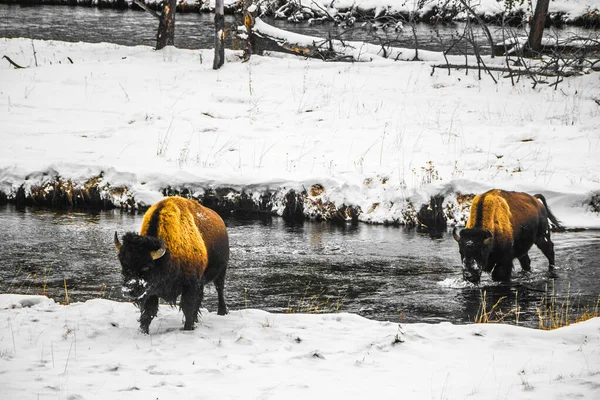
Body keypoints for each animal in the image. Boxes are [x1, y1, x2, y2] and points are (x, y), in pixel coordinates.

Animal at [113, 195, 229, 332]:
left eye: (146, 267)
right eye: (124, 265)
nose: (128, 290)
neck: (167, 254)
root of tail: (220, 221)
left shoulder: (190, 285)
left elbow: (188, 308)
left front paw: (187, 329)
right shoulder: (151, 291)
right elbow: (148, 313)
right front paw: (144, 332)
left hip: (221, 270)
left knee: (219, 289)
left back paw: (222, 312)